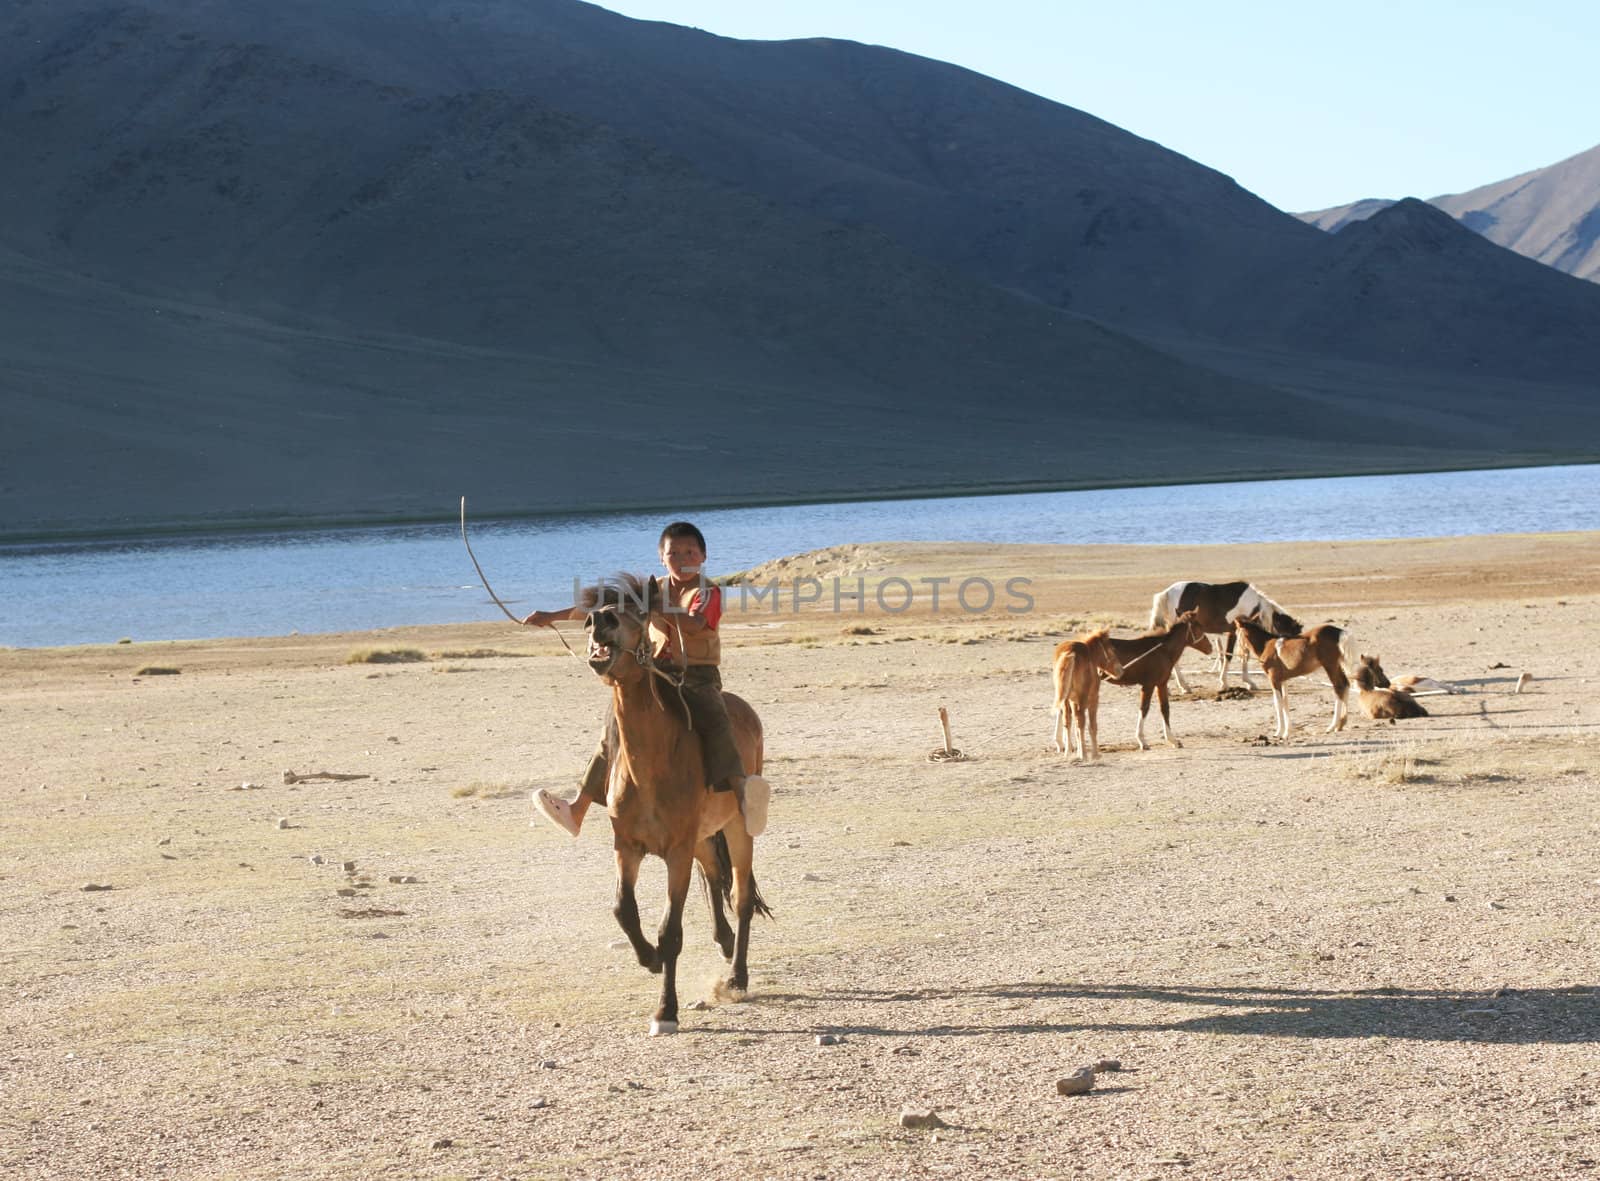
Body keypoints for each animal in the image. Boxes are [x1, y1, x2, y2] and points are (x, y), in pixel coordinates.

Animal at [582, 576, 768, 1036]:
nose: (600, 622)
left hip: (736, 828)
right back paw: (725, 942)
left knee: (739, 897)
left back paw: (737, 977)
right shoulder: (627, 848)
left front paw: (666, 1010)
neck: (651, 766)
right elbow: (623, 910)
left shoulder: (676, 854)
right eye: (591, 611)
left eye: (641, 611)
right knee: (715, 875)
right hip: (703, 837)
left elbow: (672, 932)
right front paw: (648, 959)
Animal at [1049, 627, 1126, 764]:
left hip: (1066, 701)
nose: (1120, 670)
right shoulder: (1093, 700)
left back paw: (1068, 753)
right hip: (1083, 699)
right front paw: (1094, 754)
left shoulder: (1073, 701)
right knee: (1081, 722)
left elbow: (1074, 726)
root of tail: (1071, 653)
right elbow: (1092, 726)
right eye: (1111, 649)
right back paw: (1084, 755)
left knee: (1067, 721)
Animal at [1100, 608, 1209, 745]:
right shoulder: (1148, 685)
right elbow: (1144, 709)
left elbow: (1165, 709)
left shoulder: (1161, 684)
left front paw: (1172, 740)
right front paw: (1142, 740)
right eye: (1199, 627)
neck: (1162, 651)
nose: (1210, 647)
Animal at [1158, 579, 1305, 691]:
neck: (1256, 606)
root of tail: (1166, 593)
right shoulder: (1234, 631)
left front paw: (1248, 682)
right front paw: (1225, 683)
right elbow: (1230, 656)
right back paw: (1184, 686)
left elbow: (1244, 655)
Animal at [1228, 617, 1356, 736]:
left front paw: (1279, 732)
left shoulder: (1274, 679)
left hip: (1330, 665)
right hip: (1338, 665)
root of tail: (1338, 632)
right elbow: (1285, 702)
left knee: (1338, 687)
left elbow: (1278, 703)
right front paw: (1286, 732)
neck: (1266, 645)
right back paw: (1341, 724)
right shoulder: (1283, 680)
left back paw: (1332, 726)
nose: (1239, 655)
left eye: (1237, 634)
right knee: (1345, 684)